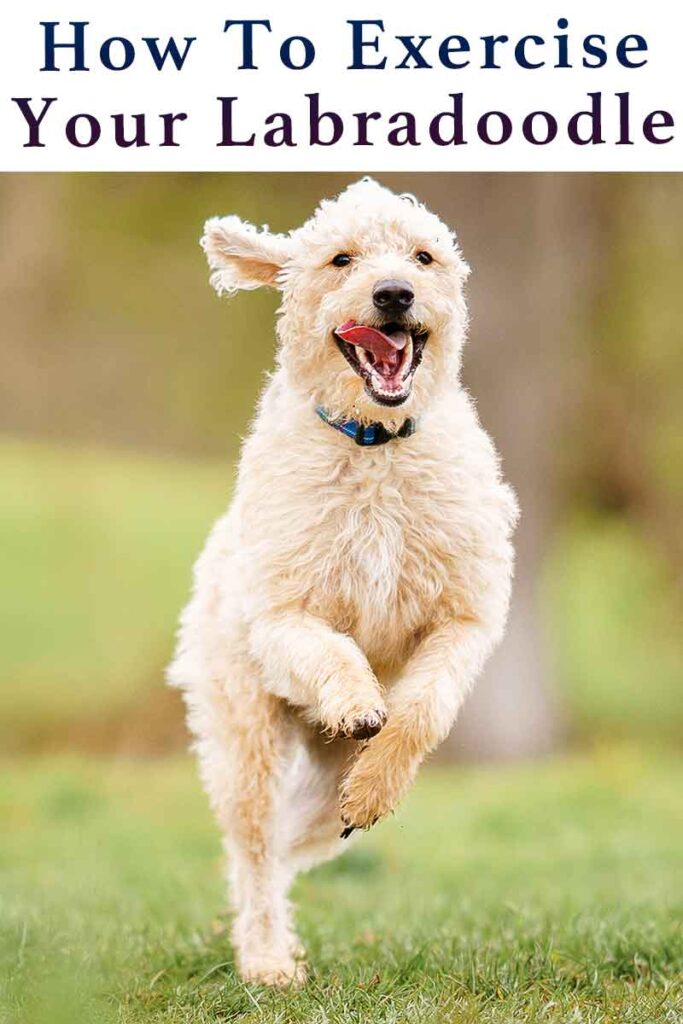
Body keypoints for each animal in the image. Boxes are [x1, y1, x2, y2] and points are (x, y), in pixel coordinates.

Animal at [169, 180, 518, 987]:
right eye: (341, 259)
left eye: (423, 257)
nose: (393, 293)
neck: (374, 446)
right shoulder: (281, 613)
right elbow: (331, 650)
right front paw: (358, 700)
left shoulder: (464, 617)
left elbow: (419, 711)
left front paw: (379, 774)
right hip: (246, 733)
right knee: (255, 852)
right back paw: (267, 958)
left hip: (321, 788)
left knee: (297, 837)